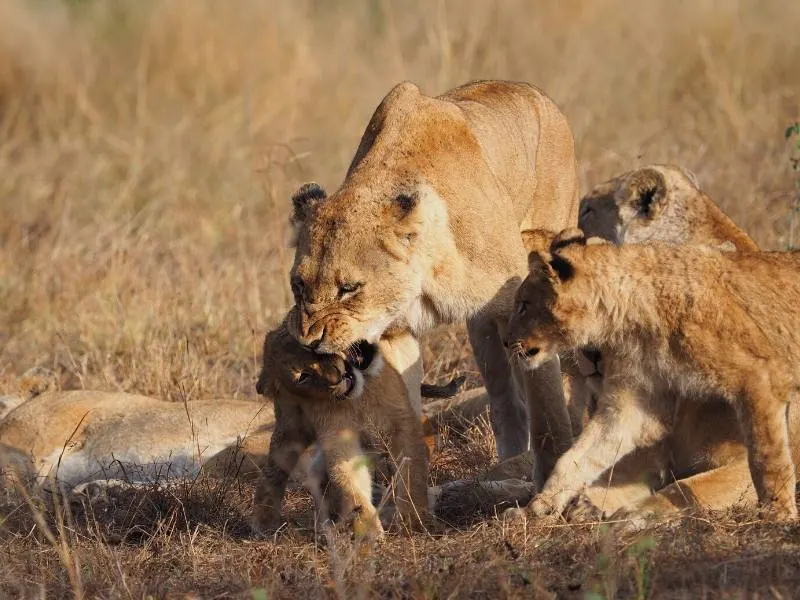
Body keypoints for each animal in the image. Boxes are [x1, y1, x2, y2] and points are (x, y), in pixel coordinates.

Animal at [506, 230, 800, 520]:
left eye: (523, 305)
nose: (506, 342)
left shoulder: (760, 376)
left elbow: (763, 458)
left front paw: (778, 513)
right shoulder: (634, 402)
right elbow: (578, 457)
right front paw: (541, 506)